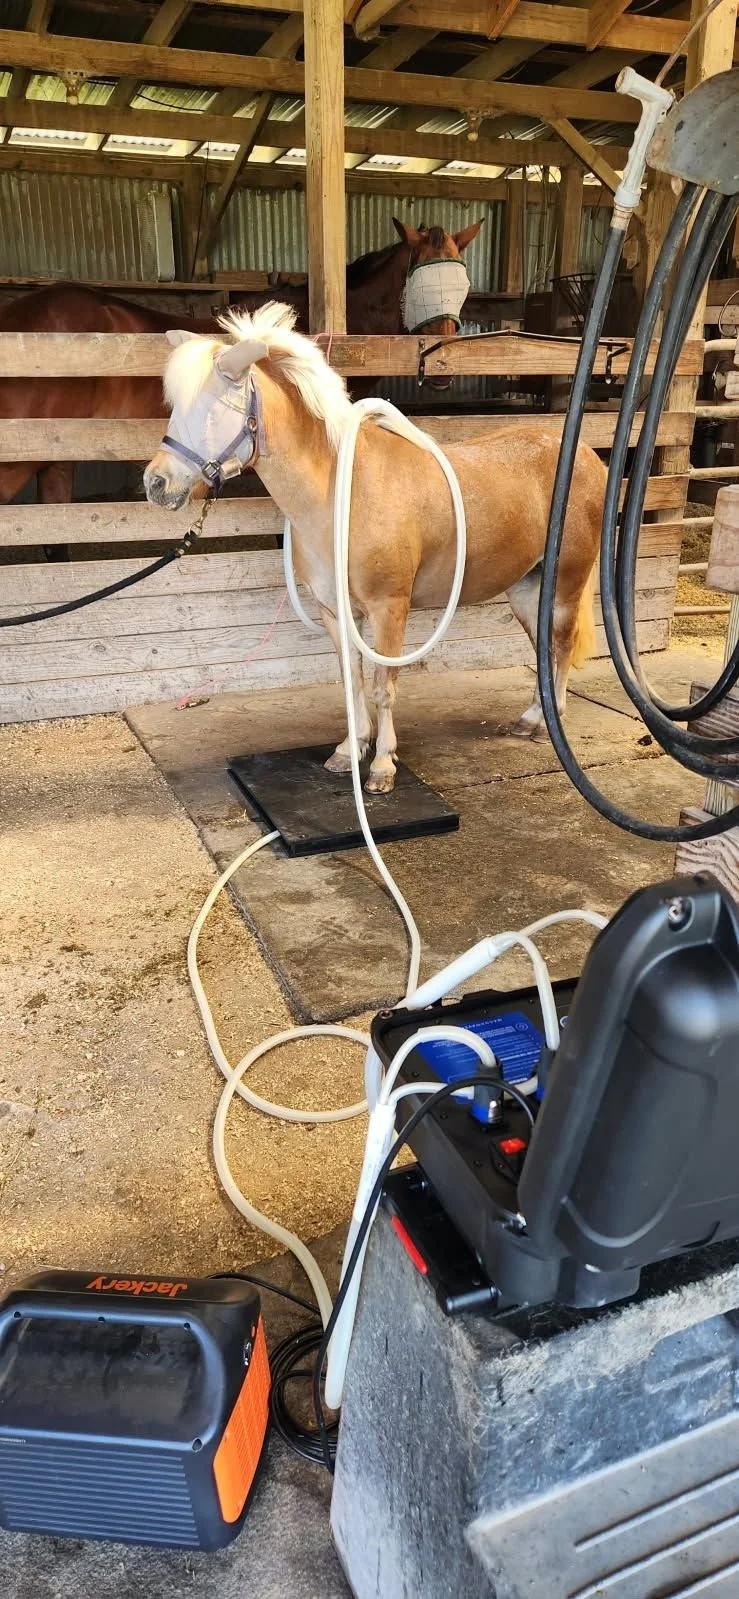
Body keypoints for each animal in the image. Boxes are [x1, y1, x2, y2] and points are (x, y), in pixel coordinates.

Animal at [143, 301, 604, 794]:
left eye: (213, 407)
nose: (156, 483)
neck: (343, 493)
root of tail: (587, 456)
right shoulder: (335, 610)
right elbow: (353, 680)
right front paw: (349, 751)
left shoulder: (389, 608)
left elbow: (384, 686)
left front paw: (382, 765)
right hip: (525, 590)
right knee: (542, 647)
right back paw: (531, 718)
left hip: (565, 586)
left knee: (560, 643)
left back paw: (545, 721)